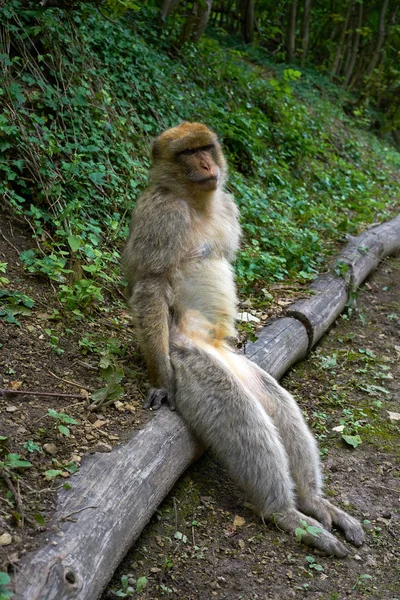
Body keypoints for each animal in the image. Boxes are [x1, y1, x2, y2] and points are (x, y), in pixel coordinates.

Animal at [122, 122, 366, 556]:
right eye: (188, 153)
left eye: (205, 148)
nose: (206, 164)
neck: (196, 202)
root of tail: (212, 348)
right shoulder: (161, 215)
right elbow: (149, 284)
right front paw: (160, 381)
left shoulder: (228, 206)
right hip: (191, 357)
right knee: (238, 409)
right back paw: (285, 513)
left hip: (233, 360)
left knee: (276, 401)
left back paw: (313, 501)